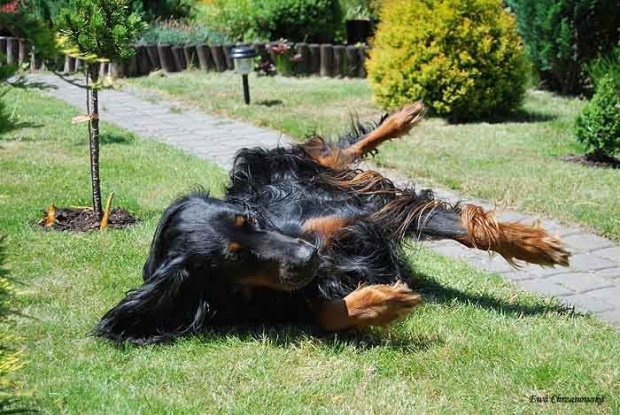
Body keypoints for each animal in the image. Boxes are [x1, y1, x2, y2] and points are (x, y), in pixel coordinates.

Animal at [94, 103, 568, 344]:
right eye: (233, 259)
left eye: (250, 219)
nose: (309, 257)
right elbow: (324, 313)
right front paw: (380, 301)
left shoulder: (360, 212)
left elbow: (461, 226)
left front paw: (534, 243)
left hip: (303, 168)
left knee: (336, 152)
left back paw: (403, 116)